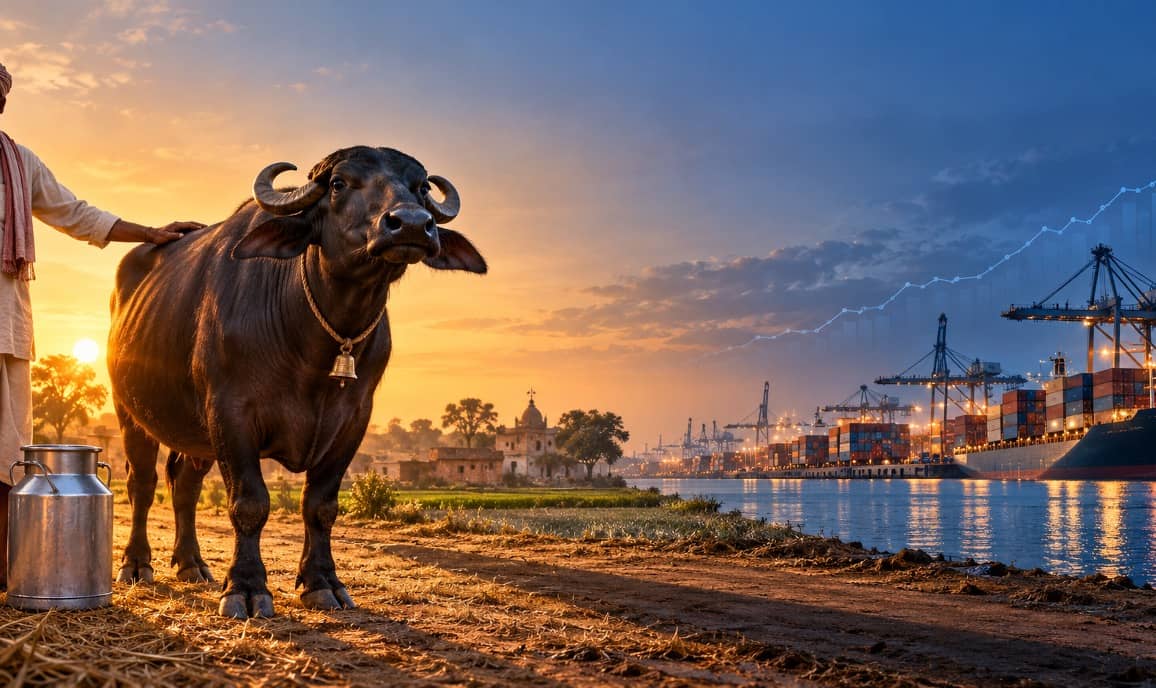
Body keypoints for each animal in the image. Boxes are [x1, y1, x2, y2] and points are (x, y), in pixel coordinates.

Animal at [108, 146, 486, 618]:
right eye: (339, 183)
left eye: (420, 187)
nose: (413, 224)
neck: (316, 339)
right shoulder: (230, 412)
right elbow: (250, 503)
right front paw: (246, 588)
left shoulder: (353, 420)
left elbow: (320, 506)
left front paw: (322, 583)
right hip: (130, 411)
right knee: (142, 483)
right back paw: (137, 564)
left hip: (195, 433)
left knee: (184, 486)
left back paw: (192, 564)